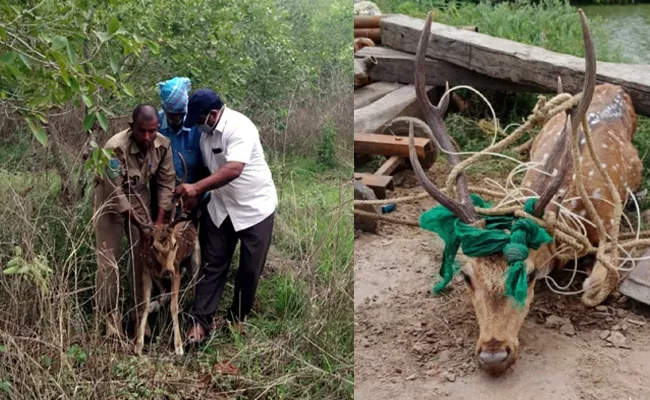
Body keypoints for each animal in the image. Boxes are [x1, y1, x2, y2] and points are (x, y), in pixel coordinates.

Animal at [408, 10, 640, 376]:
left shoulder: (609, 213)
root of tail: (612, 85)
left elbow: (596, 285)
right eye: (466, 276)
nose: (493, 355)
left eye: (529, 275)